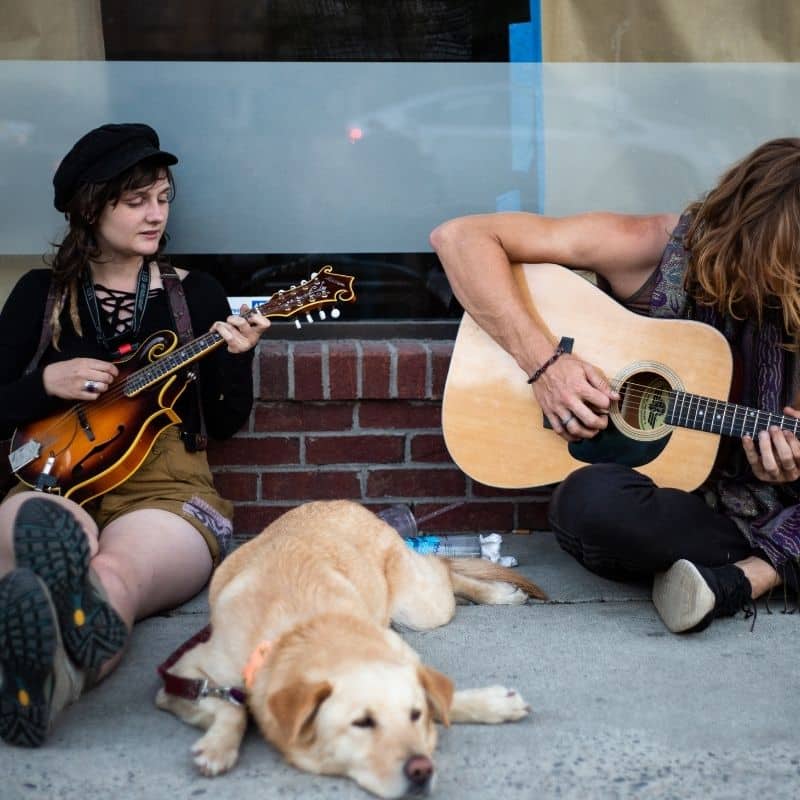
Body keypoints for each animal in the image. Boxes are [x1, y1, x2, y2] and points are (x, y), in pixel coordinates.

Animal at [155, 500, 544, 792]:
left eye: (414, 715)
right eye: (362, 724)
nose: (422, 770)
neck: (304, 627)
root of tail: (349, 504)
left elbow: (441, 696)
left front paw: (491, 703)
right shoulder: (180, 677)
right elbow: (230, 707)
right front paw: (218, 746)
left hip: (421, 607)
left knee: (445, 570)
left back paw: (498, 593)